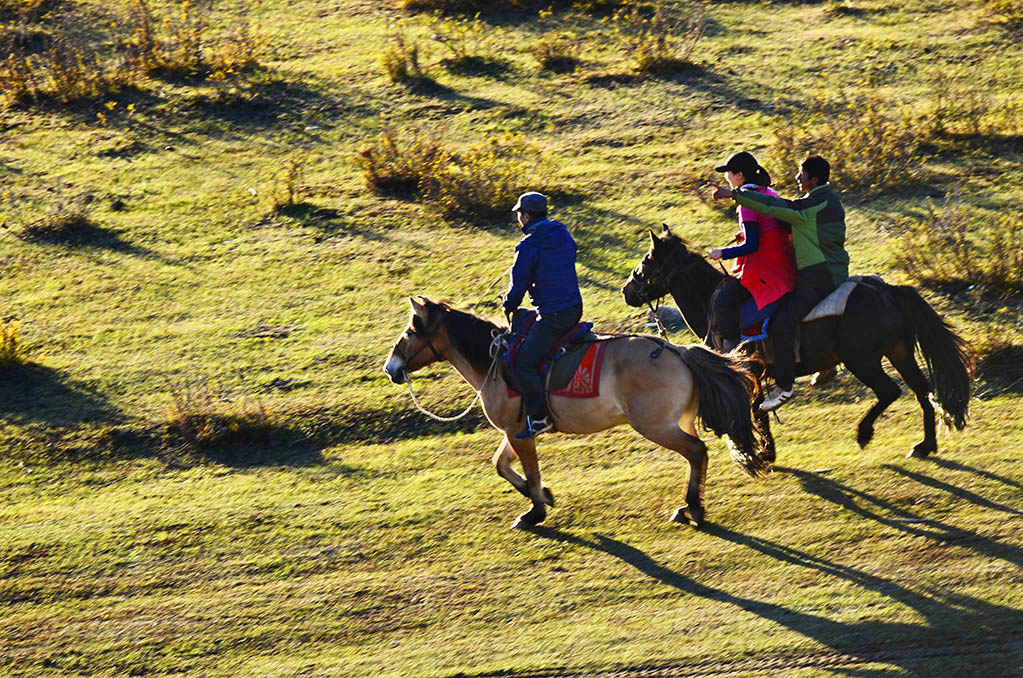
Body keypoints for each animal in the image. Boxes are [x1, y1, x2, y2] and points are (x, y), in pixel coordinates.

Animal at [384, 296, 769, 531]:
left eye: (410, 331)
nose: (391, 368)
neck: (494, 361)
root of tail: (678, 351)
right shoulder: (515, 431)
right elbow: (501, 466)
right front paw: (543, 496)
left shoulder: (519, 431)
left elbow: (528, 472)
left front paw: (535, 510)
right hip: (679, 421)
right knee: (696, 455)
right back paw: (688, 506)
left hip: (656, 426)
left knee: (697, 452)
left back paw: (694, 508)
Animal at [617, 224, 969, 464]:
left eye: (647, 260)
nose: (626, 290)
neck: (710, 301)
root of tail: (890, 291)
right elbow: (758, 411)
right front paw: (766, 451)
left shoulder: (748, 372)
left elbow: (756, 412)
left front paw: (762, 453)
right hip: (899, 352)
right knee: (922, 391)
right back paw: (924, 445)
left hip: (863, 360)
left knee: (890, 391)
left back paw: (864, 433)